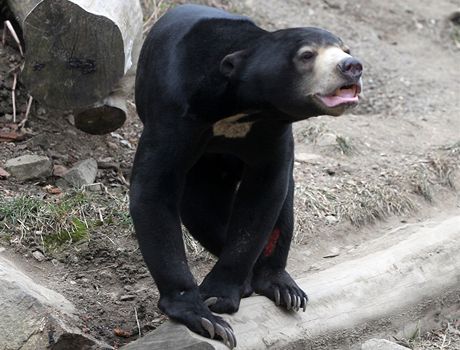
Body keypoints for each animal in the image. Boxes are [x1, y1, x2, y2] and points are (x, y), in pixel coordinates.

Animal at [130, 2, 362, 348]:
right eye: (306, 55)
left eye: (345, 50)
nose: (353, 66)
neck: (242, 107)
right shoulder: (175, 115)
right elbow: (153, 190)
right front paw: (204, 316)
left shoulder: (274, 131)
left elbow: (264, 195)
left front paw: (219, 296)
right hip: (204, 167)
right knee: (200, 209)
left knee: (282, 204)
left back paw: (281, 286)